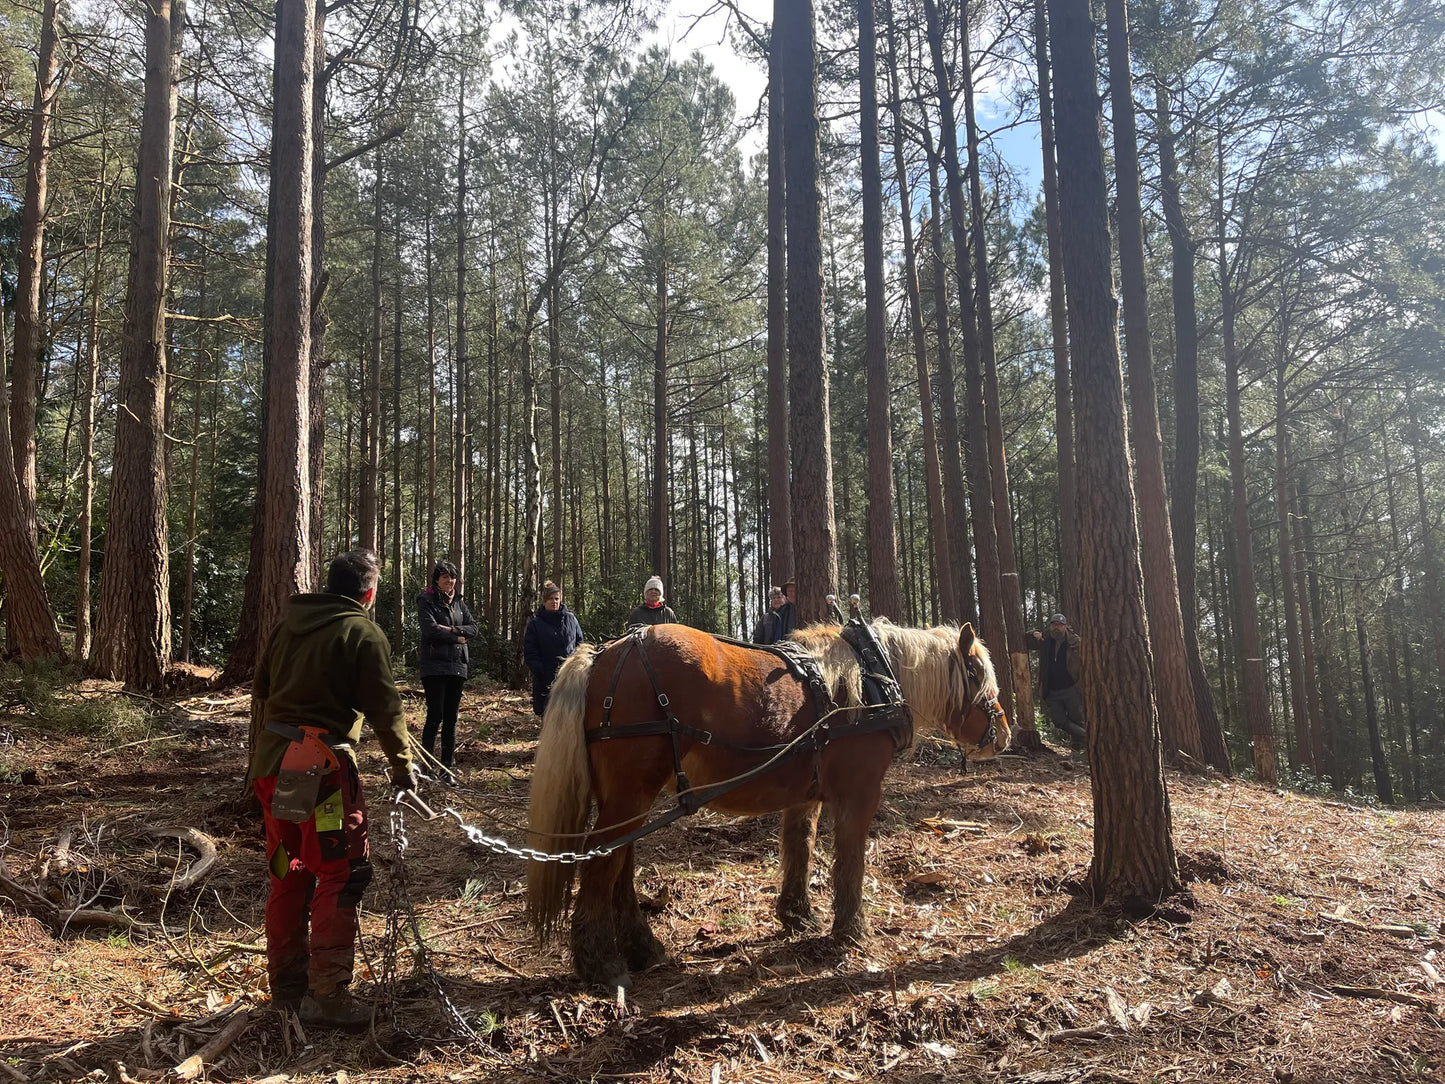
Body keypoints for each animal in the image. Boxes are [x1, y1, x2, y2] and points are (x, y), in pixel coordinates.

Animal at [525, 618, 1011, 994]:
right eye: (979, 676)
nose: (1004, 733)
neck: (873, 681)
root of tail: (605, 653)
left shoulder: (805, 796)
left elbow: (800, 845)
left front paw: (798, 915)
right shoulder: (859, 793)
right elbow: (850, 861)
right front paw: (851, 931)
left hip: (628, 796)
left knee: (619, 862)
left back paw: (644, 948)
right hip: (631, 792)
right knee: (601, 862)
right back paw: (600, 963)